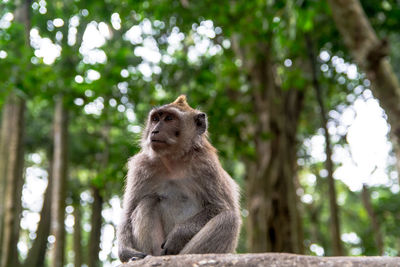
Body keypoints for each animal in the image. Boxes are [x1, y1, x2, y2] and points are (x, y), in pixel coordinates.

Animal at [115, 95, 241, 262]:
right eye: (155, 119)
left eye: (169, 118)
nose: (154, 131)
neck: (173, 162)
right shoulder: (140, 167)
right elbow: (128, 212)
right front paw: (125, 252)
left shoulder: (207, 167)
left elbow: (221, 207)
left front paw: (178, 235)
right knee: (147, 201)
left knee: (229, 218)